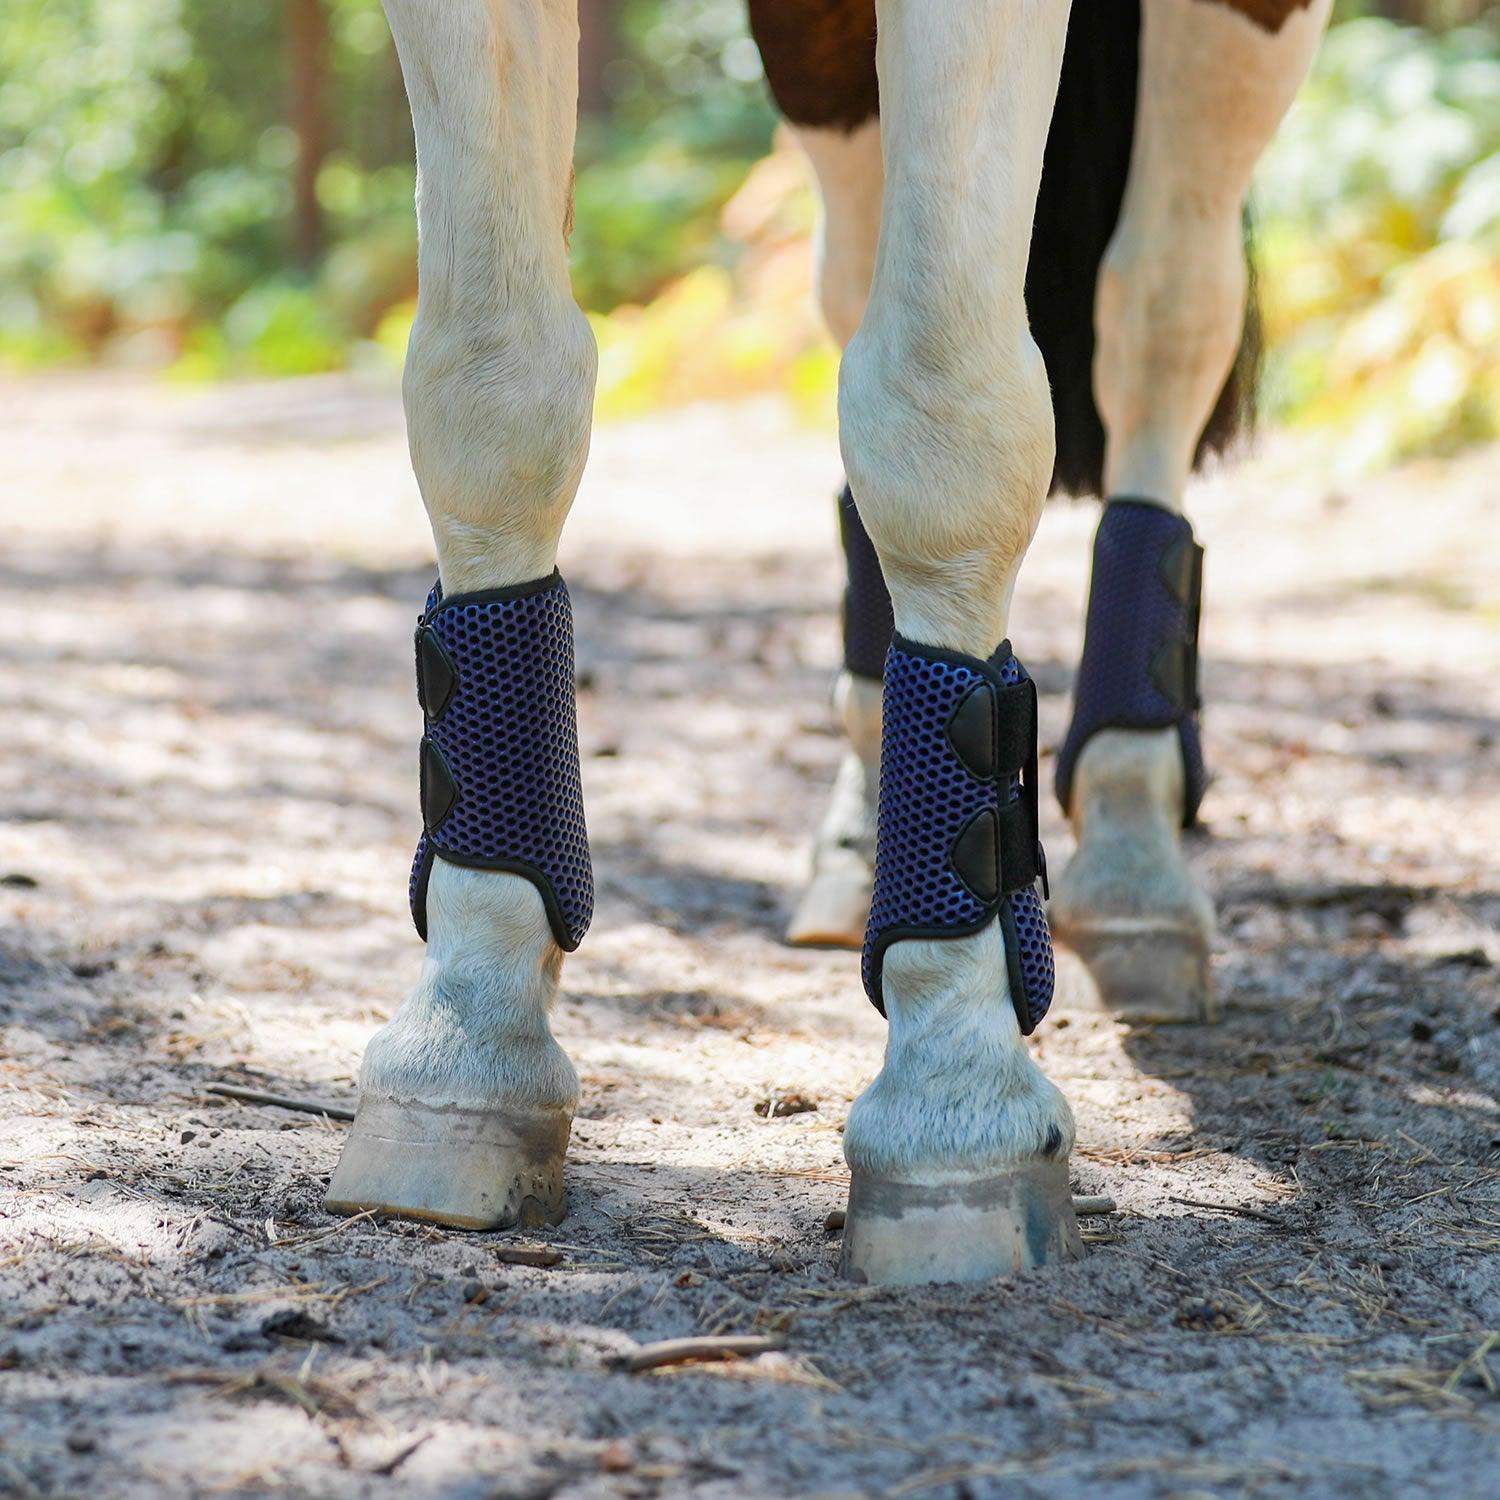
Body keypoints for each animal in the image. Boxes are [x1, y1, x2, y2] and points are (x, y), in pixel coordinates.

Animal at [324, 0, 1332, 1285]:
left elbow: (944, 401)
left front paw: (953, 1076)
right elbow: (490, 381)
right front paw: (469, 1022)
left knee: (1163, 304)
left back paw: (1132, 839)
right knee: (861, 282)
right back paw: (863, 839)